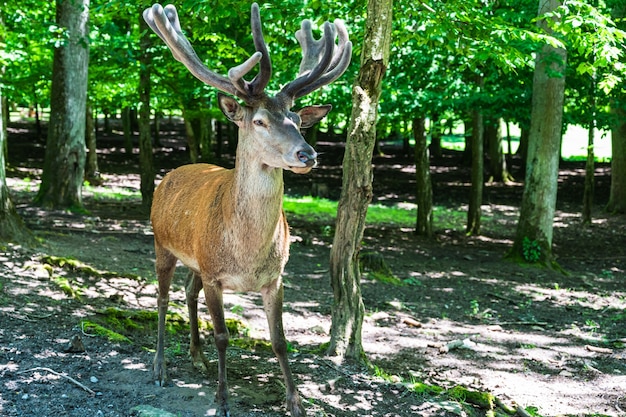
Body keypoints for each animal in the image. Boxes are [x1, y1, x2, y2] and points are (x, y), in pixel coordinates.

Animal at [141, 4, 352, 416]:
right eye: (258, 121)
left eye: (298, 121)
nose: (308, 154)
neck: (248, 254)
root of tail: (174, 170)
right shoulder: (215, 275)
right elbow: (223, 335)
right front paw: (222, 400)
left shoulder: (275, 277)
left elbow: (280, 340)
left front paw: (296, 401)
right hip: (161, 242)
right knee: (161, 298)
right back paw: (159, 368)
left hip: (196, 260)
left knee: (187, 293)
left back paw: (197, 358)